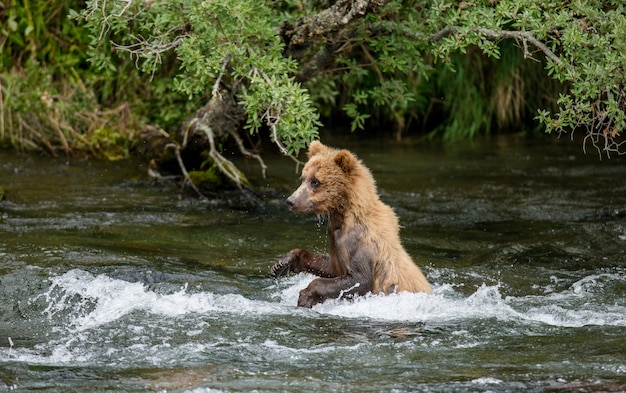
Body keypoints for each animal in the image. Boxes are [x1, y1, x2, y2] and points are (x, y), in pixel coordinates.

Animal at [270, 139, 432, 308]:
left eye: (315, 181)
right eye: (303, 178)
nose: (291, 201)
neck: (343, 216)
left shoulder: (360, 242)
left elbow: (359, 279)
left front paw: (305, 296)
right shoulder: (335, 240)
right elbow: (331, 267)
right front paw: (281, 264)